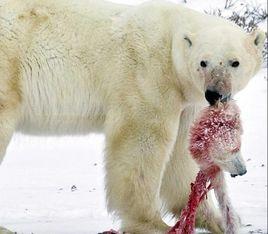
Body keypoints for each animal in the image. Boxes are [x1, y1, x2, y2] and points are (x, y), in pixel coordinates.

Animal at [0, 0, 264, 233]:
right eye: (203, 62)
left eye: (235, 62)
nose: (215, 93)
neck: (171, 42)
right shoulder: (149, 75)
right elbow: (141, 141)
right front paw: (152, 224)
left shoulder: (186, 101)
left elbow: (180, 155)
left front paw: (214, 219)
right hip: (9, 67)